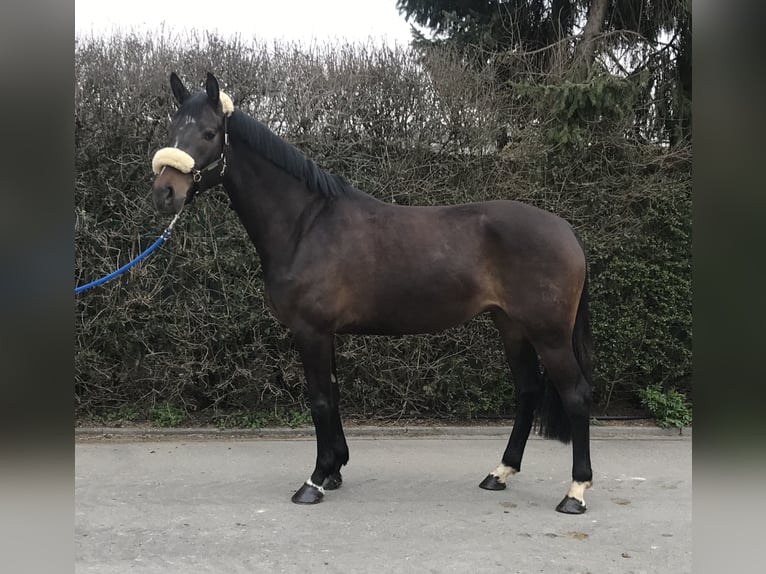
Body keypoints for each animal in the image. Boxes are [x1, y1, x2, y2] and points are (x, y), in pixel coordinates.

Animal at [151, 72, 595, 514]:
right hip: (512, 327)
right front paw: (334, 470)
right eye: (171, 130)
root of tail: (567, 230)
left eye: (209, 133)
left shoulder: (311, 331)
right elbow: (333, 394)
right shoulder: (324, 333)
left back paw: (575, 492)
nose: (165, 193)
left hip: (549, 334)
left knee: (575, 394)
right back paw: (499, 473)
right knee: (528, 390)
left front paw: (314, 481)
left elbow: (320, 400)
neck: (305, 225)